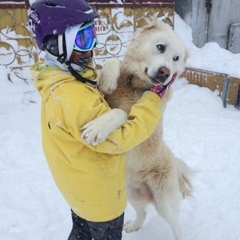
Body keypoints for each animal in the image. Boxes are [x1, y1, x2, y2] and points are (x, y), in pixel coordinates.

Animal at [81, 21, 192, 240]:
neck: (135, 86)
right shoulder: (104, 96)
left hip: (165, 202)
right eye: (160, 47)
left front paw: (98, 127)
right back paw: (133, 227)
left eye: (176, 59)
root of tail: (174, 162)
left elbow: (119, 113)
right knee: (143, 213)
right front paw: (108, 80)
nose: (166, 72)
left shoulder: (136, 124)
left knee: (176, 225)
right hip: (132, 193)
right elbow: (113, 61)